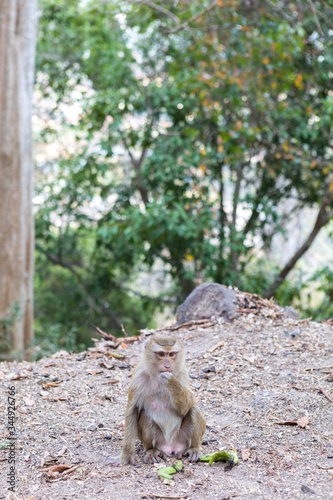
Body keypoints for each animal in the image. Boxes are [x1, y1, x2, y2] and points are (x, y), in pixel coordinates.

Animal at [109, 336, 204, 464]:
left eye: (171, 354)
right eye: (161, 354)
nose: (167, 366)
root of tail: (171, 447)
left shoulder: (182, 372)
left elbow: (188, 404)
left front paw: (172, 383)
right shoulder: (138, 376)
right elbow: (132, 411)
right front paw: (126, 456)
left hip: (182, 439)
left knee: (194, 410)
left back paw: (194, 449)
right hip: (159, 441)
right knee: (145, 416)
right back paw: (152, 451)